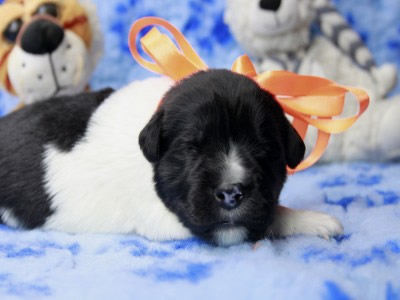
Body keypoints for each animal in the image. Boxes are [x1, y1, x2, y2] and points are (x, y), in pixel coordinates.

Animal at [0, 69, 344, 246]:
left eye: (262, 148)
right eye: (191, 148)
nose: (231, 194)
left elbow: (264, 213)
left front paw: (312, 219)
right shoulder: (164, 218)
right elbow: (265, 219)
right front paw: (311, 219)